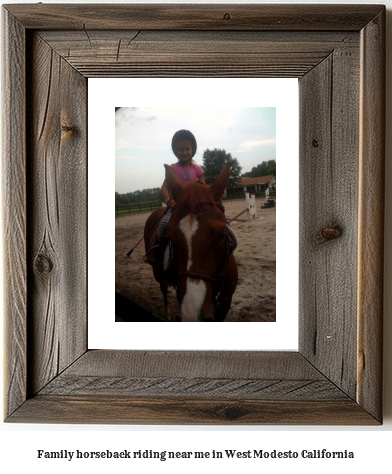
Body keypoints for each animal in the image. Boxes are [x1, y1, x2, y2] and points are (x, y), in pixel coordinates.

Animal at [142, 163, 237, 322]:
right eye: (171, 237)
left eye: (221, 235)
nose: (192, 315)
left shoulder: (225, 302)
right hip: (158, 273)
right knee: (163, 290)